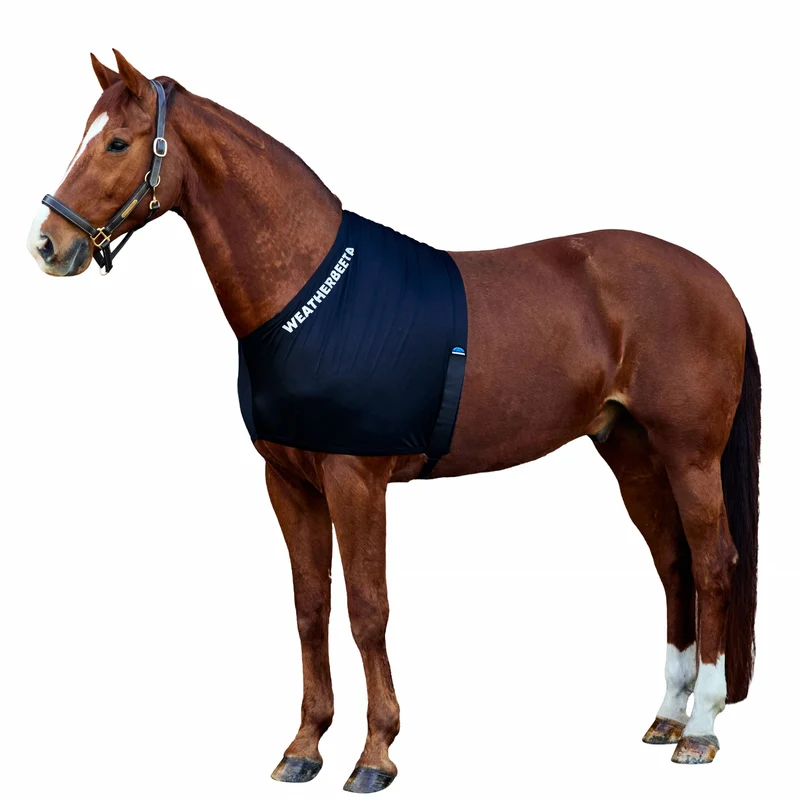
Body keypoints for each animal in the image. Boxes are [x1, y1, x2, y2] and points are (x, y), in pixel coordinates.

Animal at [26, 51, 760, 793]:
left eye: (118, 143)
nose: (47, 244)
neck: (309, 293)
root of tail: (715, 284)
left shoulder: (356, 480)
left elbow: (366, 609)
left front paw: (375, 754)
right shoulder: (289, 484)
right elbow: (311, 608)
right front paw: (304, 746)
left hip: (689, 456)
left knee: (713, 564)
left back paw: (700, 727)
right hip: (632, 454)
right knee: (674, 564)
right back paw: (666, 716)